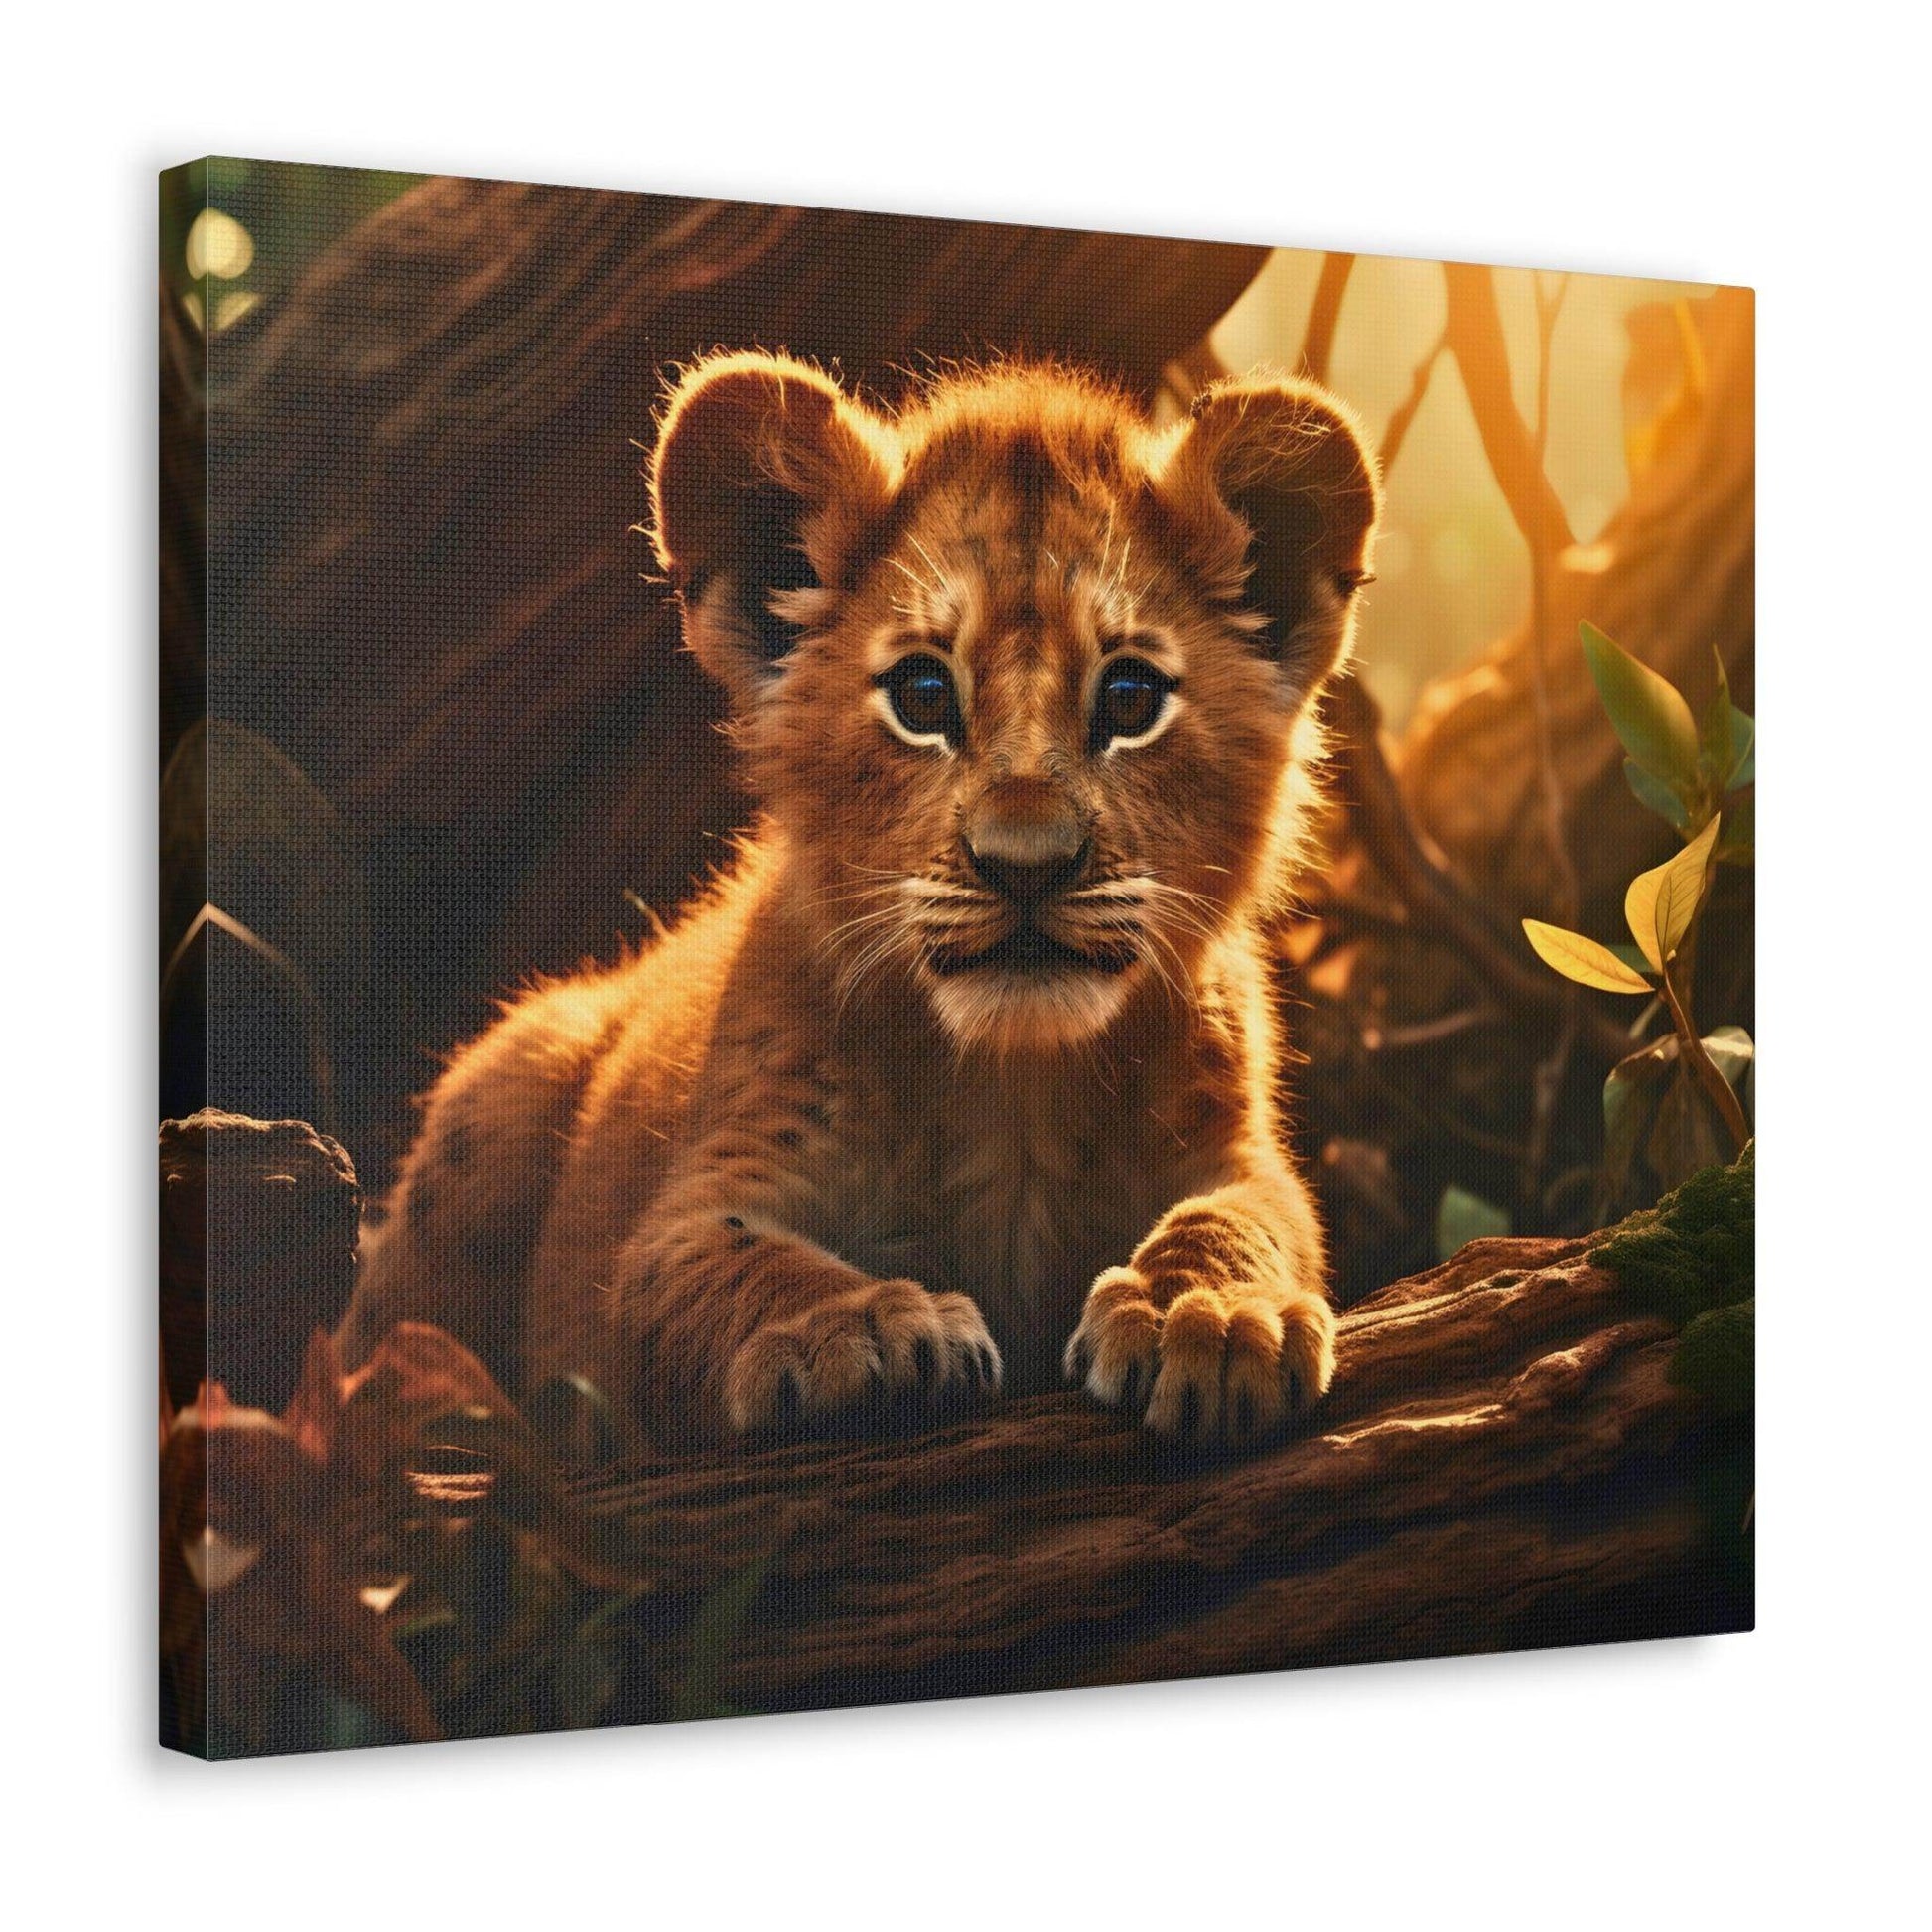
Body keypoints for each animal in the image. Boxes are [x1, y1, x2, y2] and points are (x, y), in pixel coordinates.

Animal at [337, 351, 1380, 1453]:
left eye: (1130, 699)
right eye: (922, 696)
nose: (1026, 865)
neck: (1011, 1089)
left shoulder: (1236, 1153)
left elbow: (1242, 1220)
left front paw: (1211, 1313)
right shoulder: (693, 1206)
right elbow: (739, 1266)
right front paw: (863, 1327)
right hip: (505, 1086)